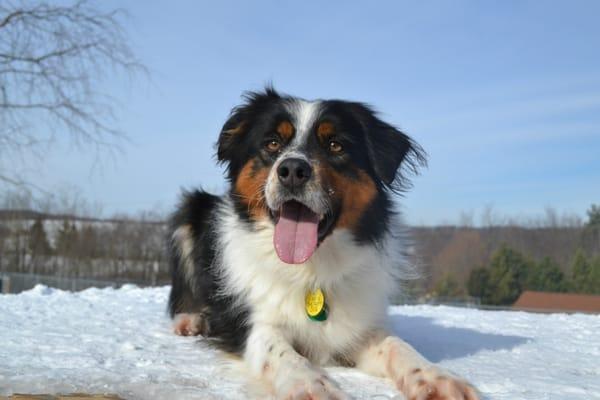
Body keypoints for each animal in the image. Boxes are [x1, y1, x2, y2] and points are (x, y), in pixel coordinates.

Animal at [165, 88, 478, 400]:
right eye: (272, 143)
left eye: (335, 145)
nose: (292, 170)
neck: (311, 268)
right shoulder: (247, 322)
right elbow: (278, 350)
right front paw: (311, 385)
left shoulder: (358, 331)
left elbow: (397, 345)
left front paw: (437, 378)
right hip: (190, 212)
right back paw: (190, 320)